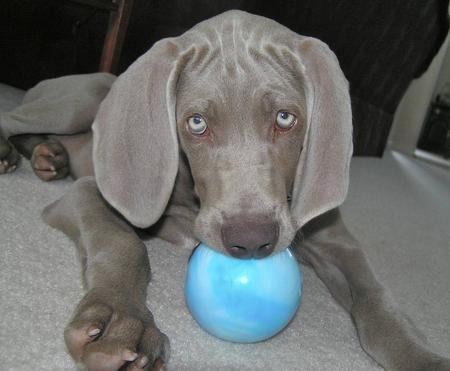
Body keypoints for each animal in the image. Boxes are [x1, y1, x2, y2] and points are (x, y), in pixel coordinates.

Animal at [0, 10, 450, 371]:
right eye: (196, 123)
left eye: (285, 118)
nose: (250, 243)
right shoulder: (86, 193)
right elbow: (122, 243)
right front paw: (120, 321)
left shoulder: (337, 242)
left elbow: (377, 298)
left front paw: (423, 357)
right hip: (81, 99)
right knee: (13, 117)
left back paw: (49, 156)